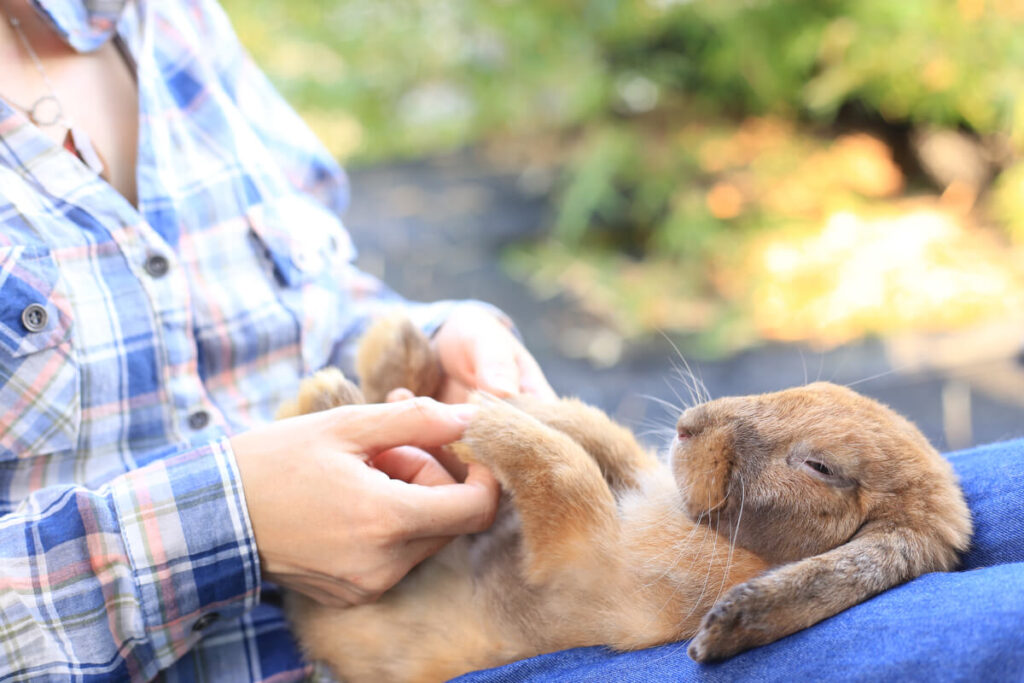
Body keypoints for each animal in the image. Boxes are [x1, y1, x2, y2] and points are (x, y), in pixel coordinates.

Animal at [276, 317, 970, 683]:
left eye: (820, 467)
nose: (689, 426)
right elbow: (592, 431)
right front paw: (495, 402)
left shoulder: (578, 554)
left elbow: (564, 468)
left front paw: (481, 422)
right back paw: (387, 355)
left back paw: (331, 391)